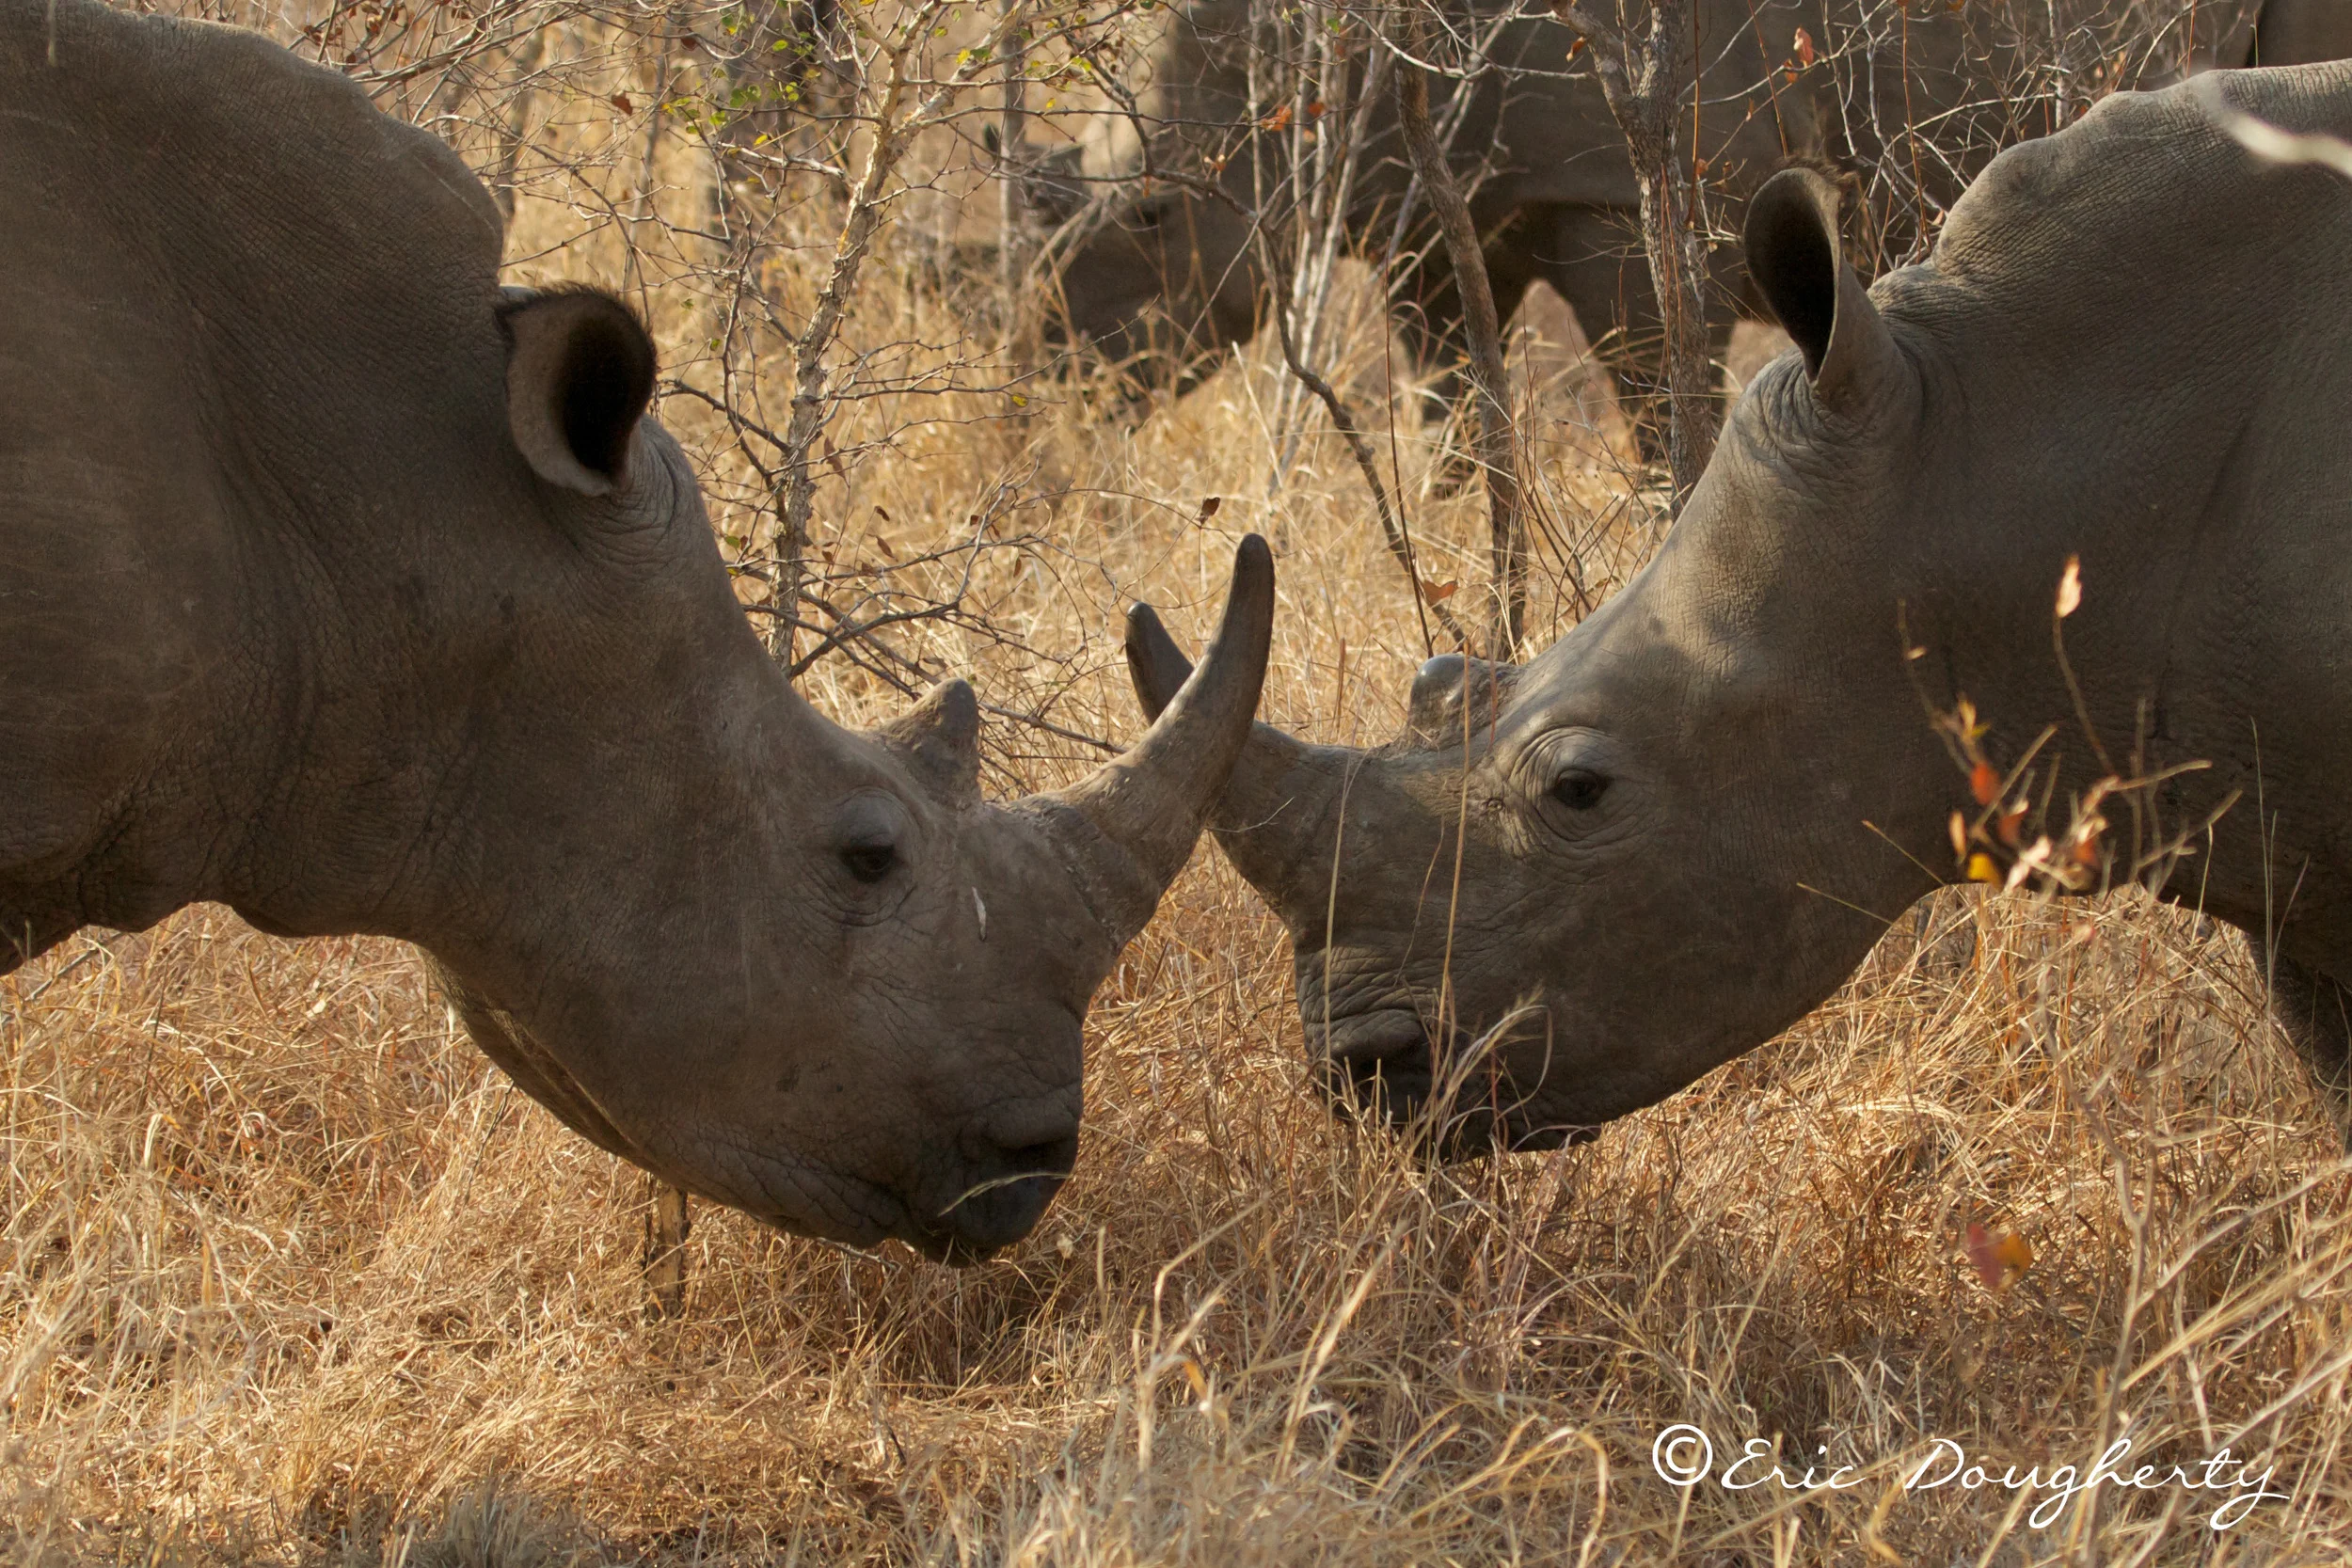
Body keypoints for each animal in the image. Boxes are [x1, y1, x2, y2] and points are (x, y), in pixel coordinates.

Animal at [1040, 0, 2345, 427]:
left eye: (1150, 217)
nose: (1062, 393)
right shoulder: (1437, 209)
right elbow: (1458, 423)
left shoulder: (1614, 198)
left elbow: (1651, 396)